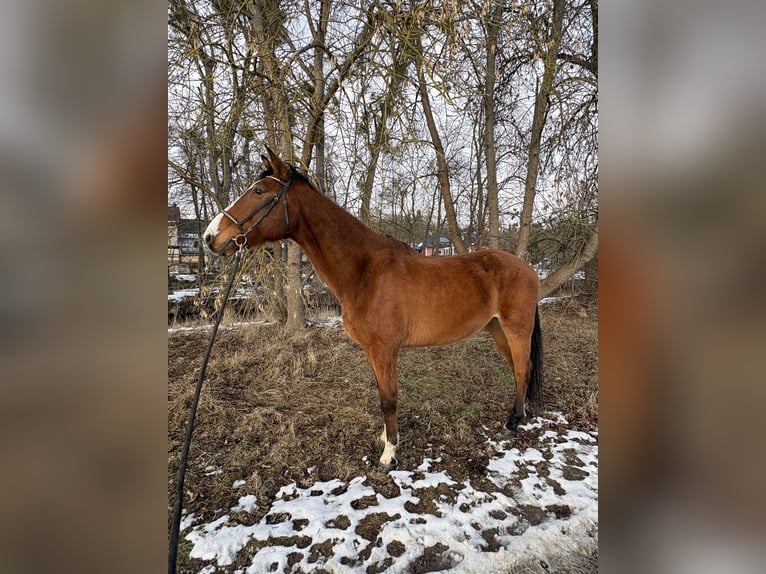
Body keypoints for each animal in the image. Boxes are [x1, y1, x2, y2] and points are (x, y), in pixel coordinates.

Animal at [203, 147, 543, 469]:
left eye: (259, 191)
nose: (210, 236)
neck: (365, 271)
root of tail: (528, 268)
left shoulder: (384, 349)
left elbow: (389, 399)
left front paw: (388, 454)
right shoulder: (372, 351)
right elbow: (382, 393)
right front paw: (387, 437)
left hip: (515, 328)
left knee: (522, 369)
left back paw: (512, 424)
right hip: (496, 328)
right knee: (519, 369)